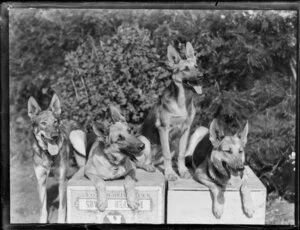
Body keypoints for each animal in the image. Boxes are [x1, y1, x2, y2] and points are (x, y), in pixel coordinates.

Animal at [27, 94, 86, 223]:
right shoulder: (41, 181)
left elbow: (62, 208)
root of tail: (73, 120)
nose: (55, 136)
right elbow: (43, 208)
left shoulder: (62, 180)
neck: (48, 155)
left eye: (55, 122)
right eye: (43, 123)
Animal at [137, 42, 203, 181]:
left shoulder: (186, 130)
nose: (201, 76)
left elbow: (182, 153)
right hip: (144, 141)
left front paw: (182, 171)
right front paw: (170, 174)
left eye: (196, 66)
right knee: (138, 162)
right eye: (186, 69)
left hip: (172, 144)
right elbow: (166, 153)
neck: (182, 102)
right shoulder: (163, 129)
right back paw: (148, 166)